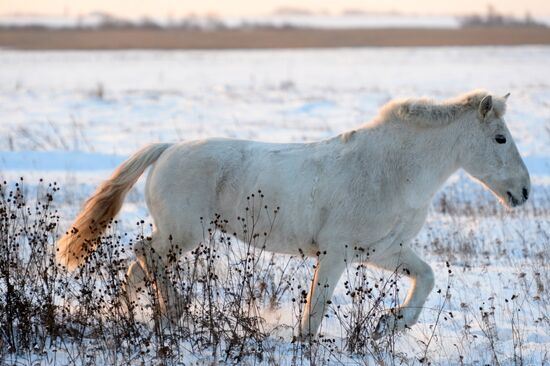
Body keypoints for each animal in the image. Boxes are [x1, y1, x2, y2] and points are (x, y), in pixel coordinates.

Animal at [56, 90, 532, 338]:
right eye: (500, 138)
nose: (524, 192)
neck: (393, 170)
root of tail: (167, 148)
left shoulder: (383, 250)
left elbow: (427, 276)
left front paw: (389, 324)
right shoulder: (337, 252)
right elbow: (316, 306)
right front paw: (308, 342)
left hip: (178, 235)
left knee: (138, 265)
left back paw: (135, 316)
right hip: (182, 233)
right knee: (144, 256)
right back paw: (172, 311)